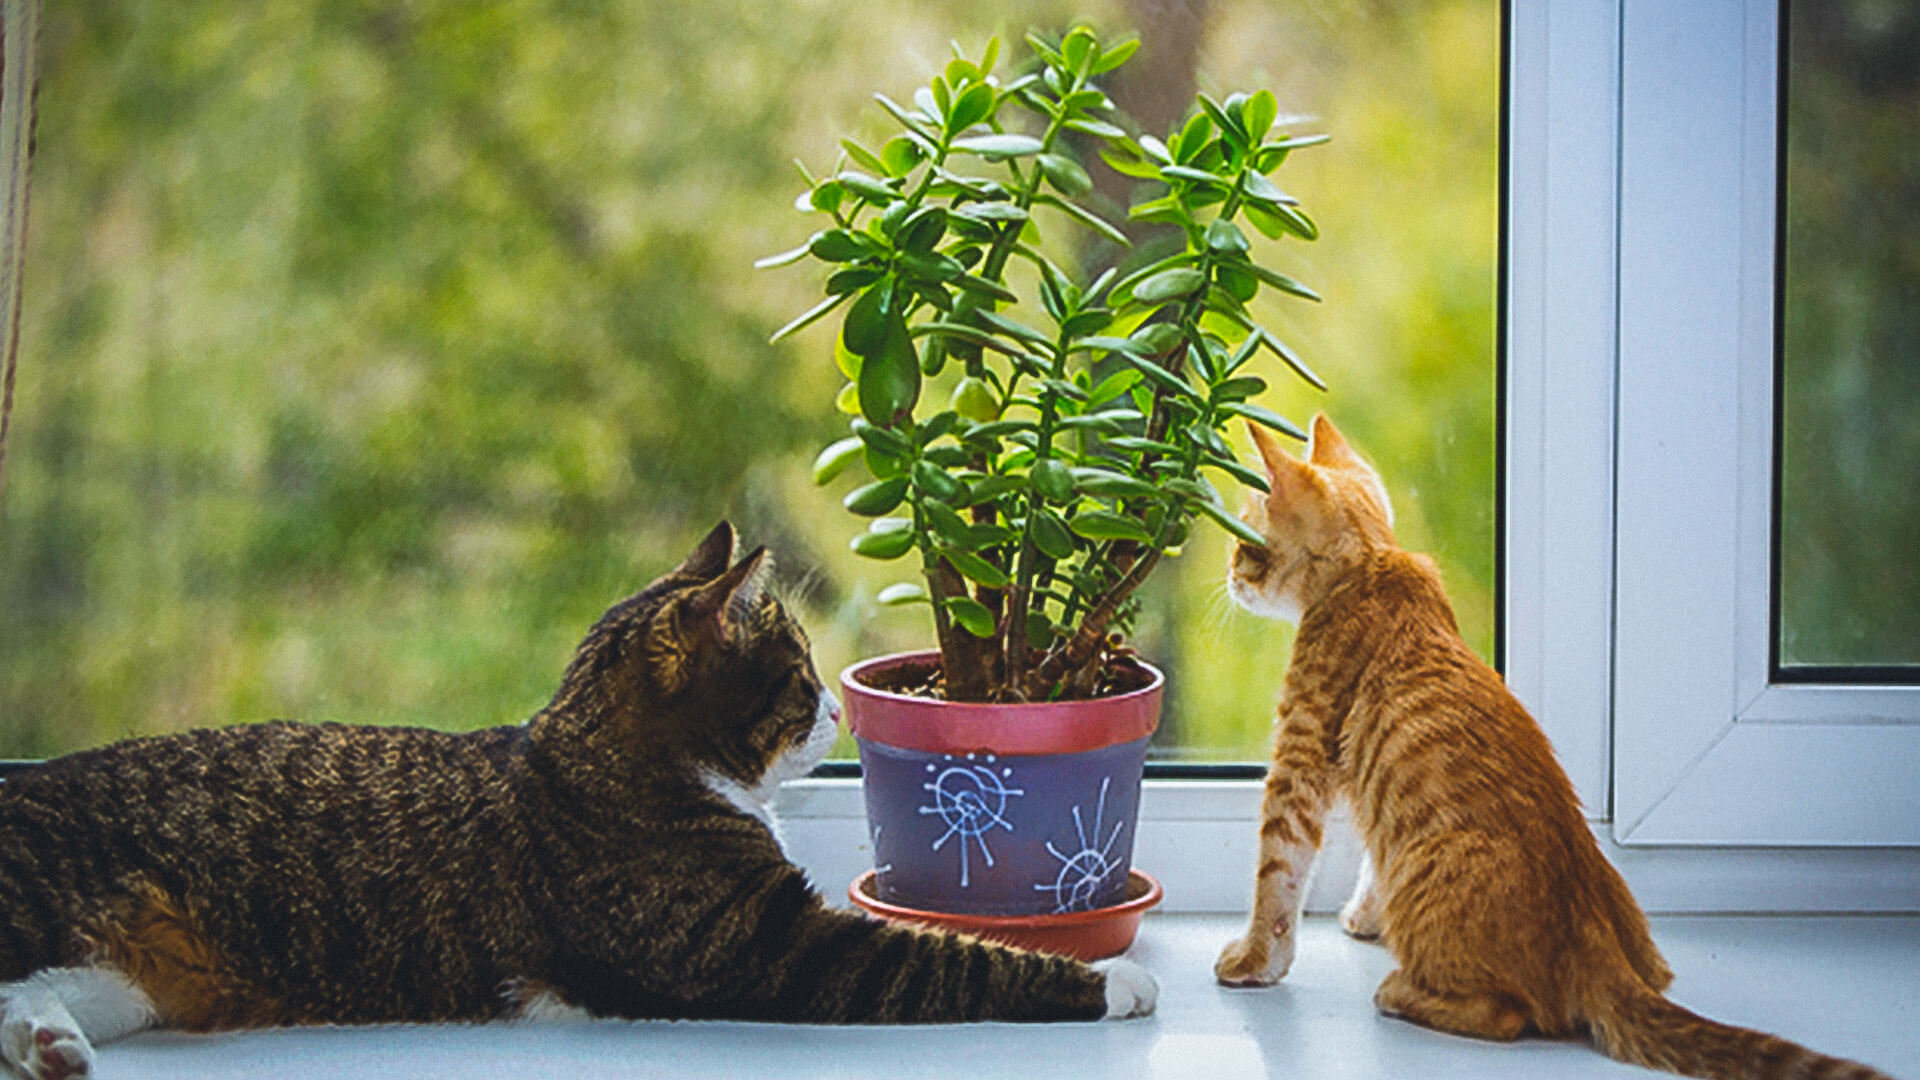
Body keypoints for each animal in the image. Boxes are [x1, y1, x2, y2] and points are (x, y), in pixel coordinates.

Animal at [0, 518, 1152, 1068]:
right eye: (798, 672)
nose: (841, 710)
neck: (596, 763)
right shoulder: (777, 947)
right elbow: (955, 957)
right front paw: (1118, 981)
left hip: (122, 977)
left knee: (26, 1000)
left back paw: (49, 1049)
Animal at [1213, 411, 1889, 1076]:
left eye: (1246, 540)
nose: (1229, 572)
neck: (1373, 561)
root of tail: (1594, 941)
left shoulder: (1300, 755)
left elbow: (1278, 871)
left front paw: (1255, 958)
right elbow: (1370, 863)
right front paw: (1363, 915)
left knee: (1507, 1016)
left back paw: (1402, 990)